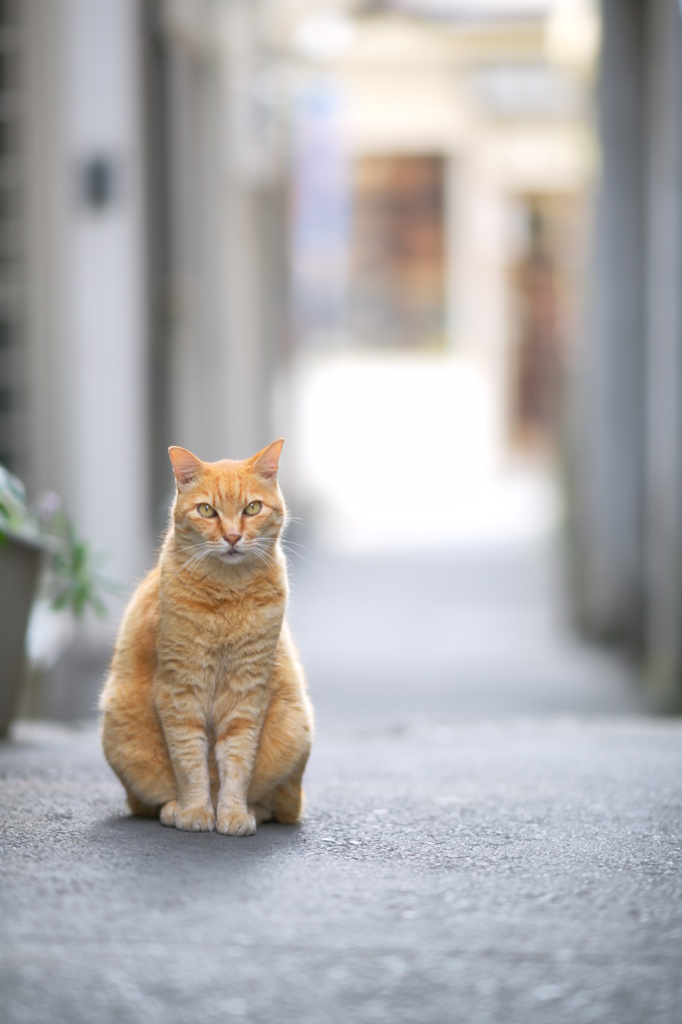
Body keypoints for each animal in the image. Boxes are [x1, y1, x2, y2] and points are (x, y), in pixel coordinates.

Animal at [99, 438, 311, 831]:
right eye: (207, 510)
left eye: (252, 508)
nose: (232, 536)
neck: (227, 596)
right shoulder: (179, 689)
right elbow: (190, 762)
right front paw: (196, 810)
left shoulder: (246, 691)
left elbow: (238, 760)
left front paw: (233, 813)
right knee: (146, 802)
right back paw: (173, 809)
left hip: (295, 732)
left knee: (280, 807)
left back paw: (253, 810)